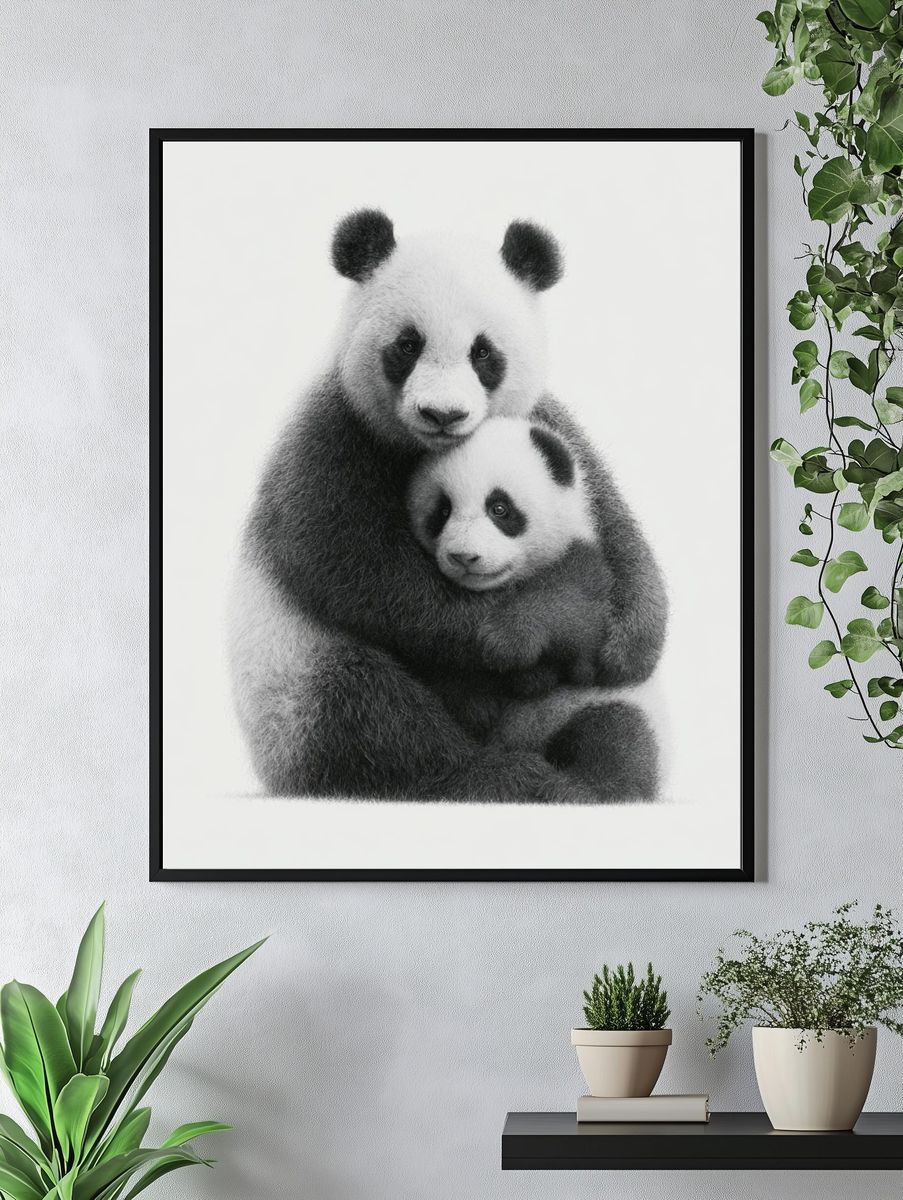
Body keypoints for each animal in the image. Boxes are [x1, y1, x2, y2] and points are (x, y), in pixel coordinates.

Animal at [406, 416, 659, 801]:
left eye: (499, 508)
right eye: (442, 511)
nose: (464, 557)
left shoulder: (591, 568)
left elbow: (573, 613)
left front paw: (506, 643)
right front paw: (478, 697)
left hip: (593, 705)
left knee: (618, 744)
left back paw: (565, 786)